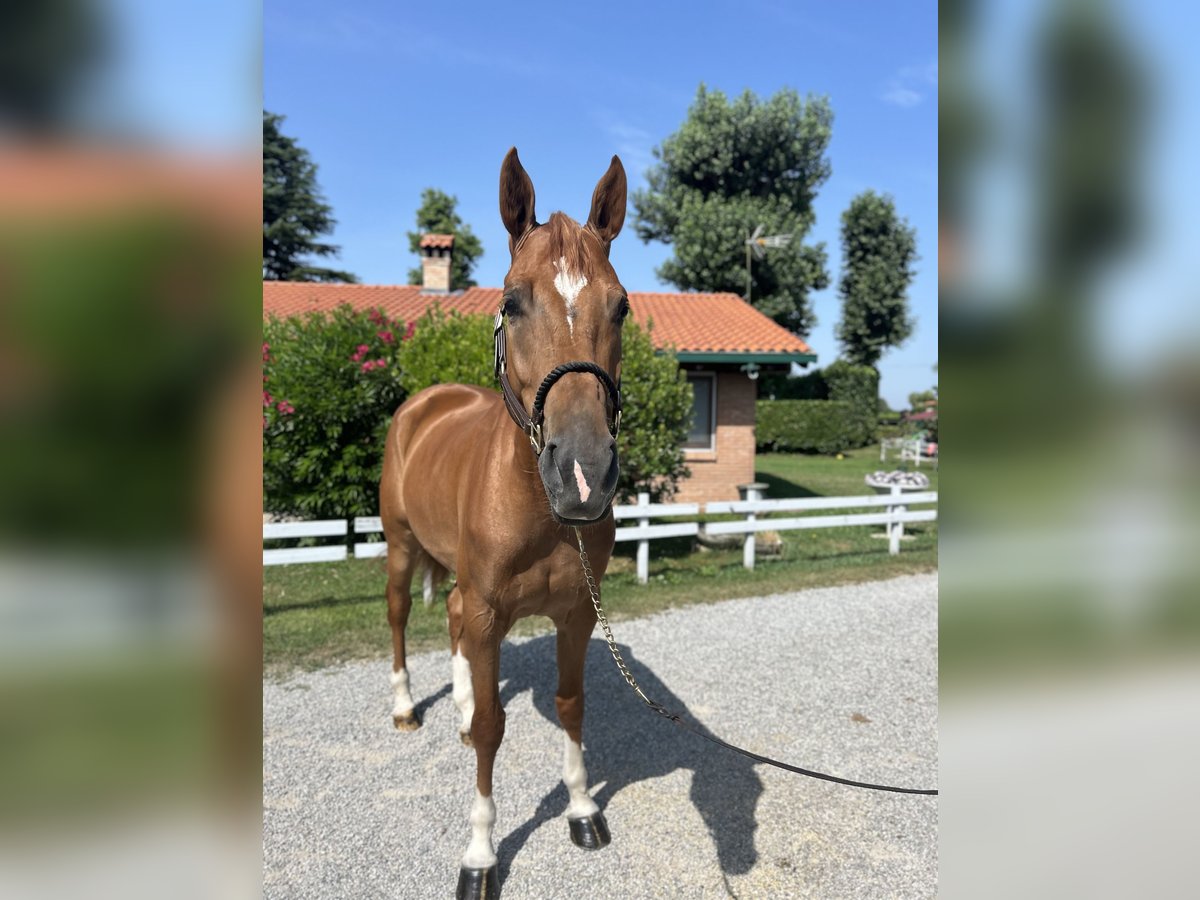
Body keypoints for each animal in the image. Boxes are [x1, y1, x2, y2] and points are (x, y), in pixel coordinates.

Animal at [381, 150, 628, 900]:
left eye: (622, 307)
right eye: (513, 302)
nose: (582, 474)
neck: (540, 515)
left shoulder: (576, 614)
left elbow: (571, 705)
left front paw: (581, 809)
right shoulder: (492, 610)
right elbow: (494, 728)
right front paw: (480, 854)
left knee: (453, 624)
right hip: (401, 549)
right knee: (401, 617)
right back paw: (406, 707)